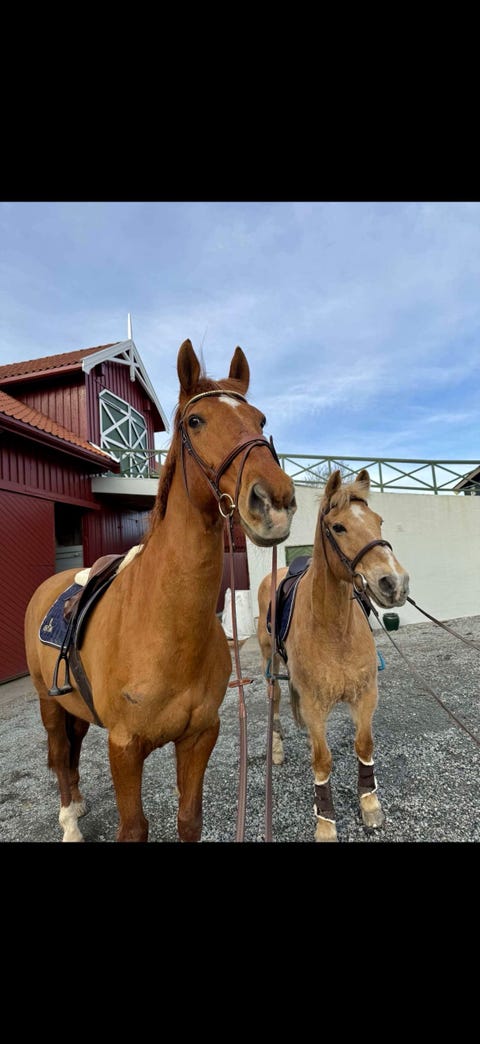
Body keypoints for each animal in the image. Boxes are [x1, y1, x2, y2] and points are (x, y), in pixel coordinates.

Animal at [24, 339, 297, 842]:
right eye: (195, 421)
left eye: (261, 420)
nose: (275, 502)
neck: (166, 626)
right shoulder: (124, 748)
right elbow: (133, 828)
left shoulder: (199, 736)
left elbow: (189, 819)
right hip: (47, 704)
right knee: (60, 755)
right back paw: (70, 818)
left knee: (71, 748)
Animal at [256, 468, 409, 842]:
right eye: (338, 527)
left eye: (378, 521)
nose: (395, 583)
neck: (333, 628)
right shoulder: (315, 707)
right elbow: (322, 761)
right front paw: (325, 821)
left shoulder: (366, 695)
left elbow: (364, 746)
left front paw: (369, 804)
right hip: (270, 661)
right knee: (276, 699)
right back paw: (277, 748)